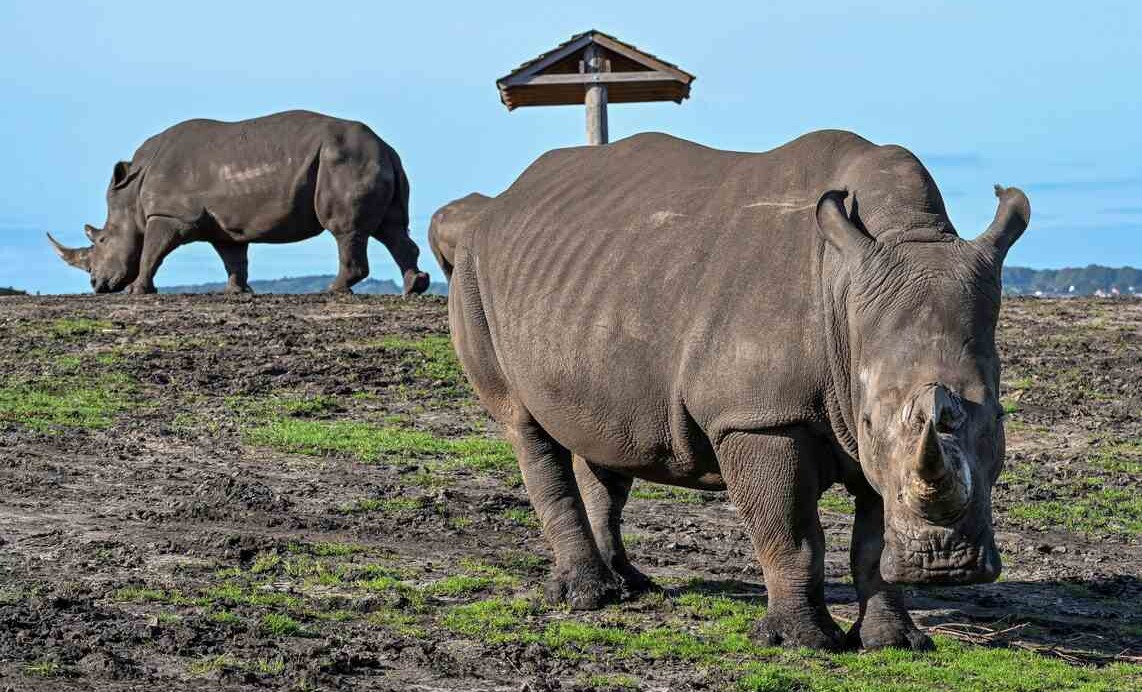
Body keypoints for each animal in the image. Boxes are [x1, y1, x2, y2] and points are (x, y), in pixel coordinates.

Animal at [49, 110, 430, 295]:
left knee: (345, 230)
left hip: (346, 161)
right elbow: (233, 256)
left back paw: (332, 291)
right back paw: (414, 287)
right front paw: (238, 292)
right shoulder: (223, 224)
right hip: (370, 160)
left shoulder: (169, 215)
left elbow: (151, 252)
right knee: (392, 228)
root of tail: (387, 147)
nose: (97, 286)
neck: (131, 196)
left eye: (101, 240)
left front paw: (137, 291)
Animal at [446, 130, 1030, 651]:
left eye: (1000, 418)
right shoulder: (758, 415)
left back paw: (628, 586)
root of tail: (501, 201)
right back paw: (586, 596)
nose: (944, 564)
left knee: (602, 438)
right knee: (524, 425)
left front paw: (894, 642)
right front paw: (801, 643)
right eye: (868, 421)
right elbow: (791, 532)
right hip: (470, 271)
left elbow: (873, 536)